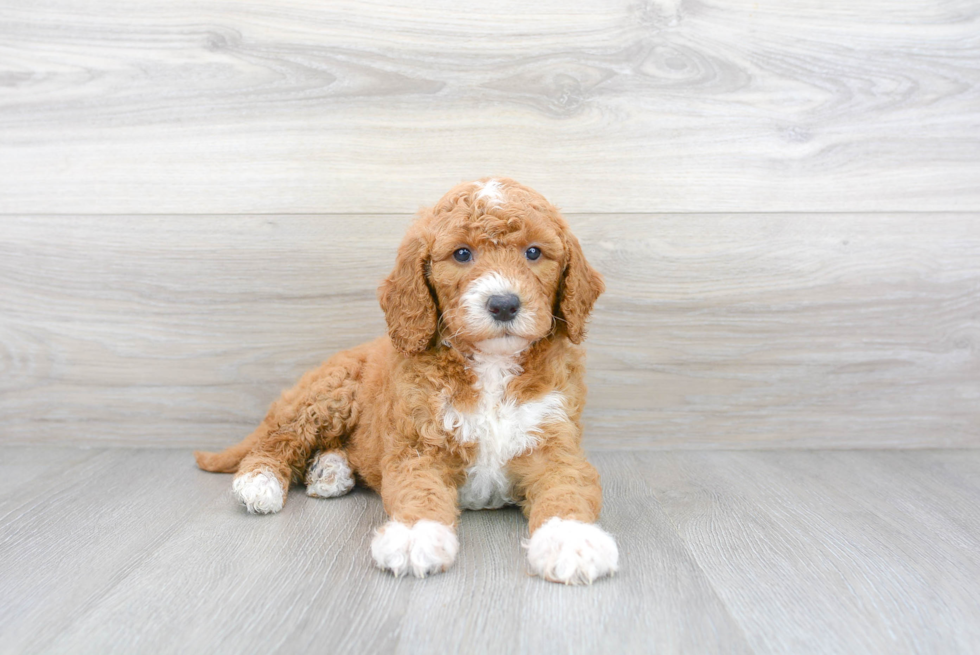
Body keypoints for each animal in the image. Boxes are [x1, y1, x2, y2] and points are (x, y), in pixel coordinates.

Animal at [194, 178, 616, 584]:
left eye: (533, 252)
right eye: (462, 254)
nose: (503, 304)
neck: (492, 367)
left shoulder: (555, 445)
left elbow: (568, 490)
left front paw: (572, 541)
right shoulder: (418, 447)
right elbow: (419, 491)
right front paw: (416, 535)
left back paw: (331, 471)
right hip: (330, 394)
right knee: (279, 438)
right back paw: (260, 480)